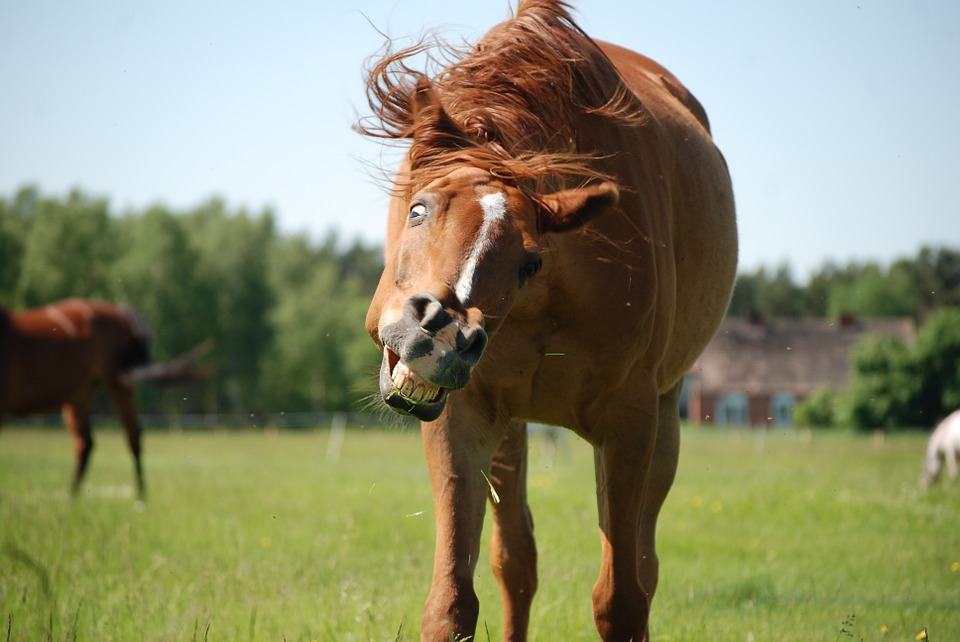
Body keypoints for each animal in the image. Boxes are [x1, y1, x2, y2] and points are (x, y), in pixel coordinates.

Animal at [0, 297, 209, 499]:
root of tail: (118, 311)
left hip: (116, 381)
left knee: (131, 436)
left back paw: (140, 496)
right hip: (81, 394)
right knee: (85, 443)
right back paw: (71, 497)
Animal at [358, 1, 737, 640]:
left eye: (529, 261)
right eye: (418, 209)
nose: (440, 334)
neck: (546, 302)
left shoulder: (629, 423)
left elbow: (621, 599)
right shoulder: (462, 416)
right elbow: (454, 601)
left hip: (664, 419)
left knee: (643, 565)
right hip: (510, 430)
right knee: (517, 563)